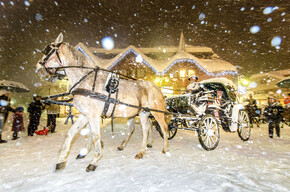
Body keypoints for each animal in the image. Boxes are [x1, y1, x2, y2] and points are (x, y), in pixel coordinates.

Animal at [36, 32, 168, 171]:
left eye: (46, 50)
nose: (37, 66)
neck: (86, 79)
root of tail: (157, 88)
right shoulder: (85, 114)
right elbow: (71, 133)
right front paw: (62, 160)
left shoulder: (93, 115)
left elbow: (95, 136)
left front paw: (94, 160)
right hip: (142, 113)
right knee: (145, 128)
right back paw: (140, 150)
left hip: (157, 112)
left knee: (163, 127)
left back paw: (165, 148)